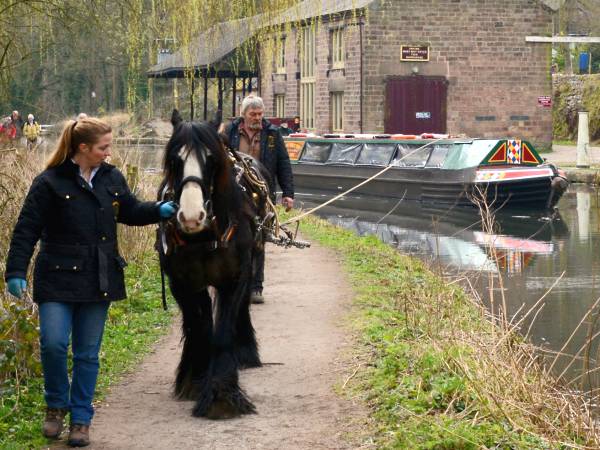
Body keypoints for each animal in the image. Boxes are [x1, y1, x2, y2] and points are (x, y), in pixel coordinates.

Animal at [156, 110, 268, 418]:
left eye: (212, 160)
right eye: (174, 160)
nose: (191, 216)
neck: (204, 236)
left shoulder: (235, 278)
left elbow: (222, 332)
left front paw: (221, 395)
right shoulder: (182, 282)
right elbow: (199, 327)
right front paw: (195, 380)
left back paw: (245, 351)